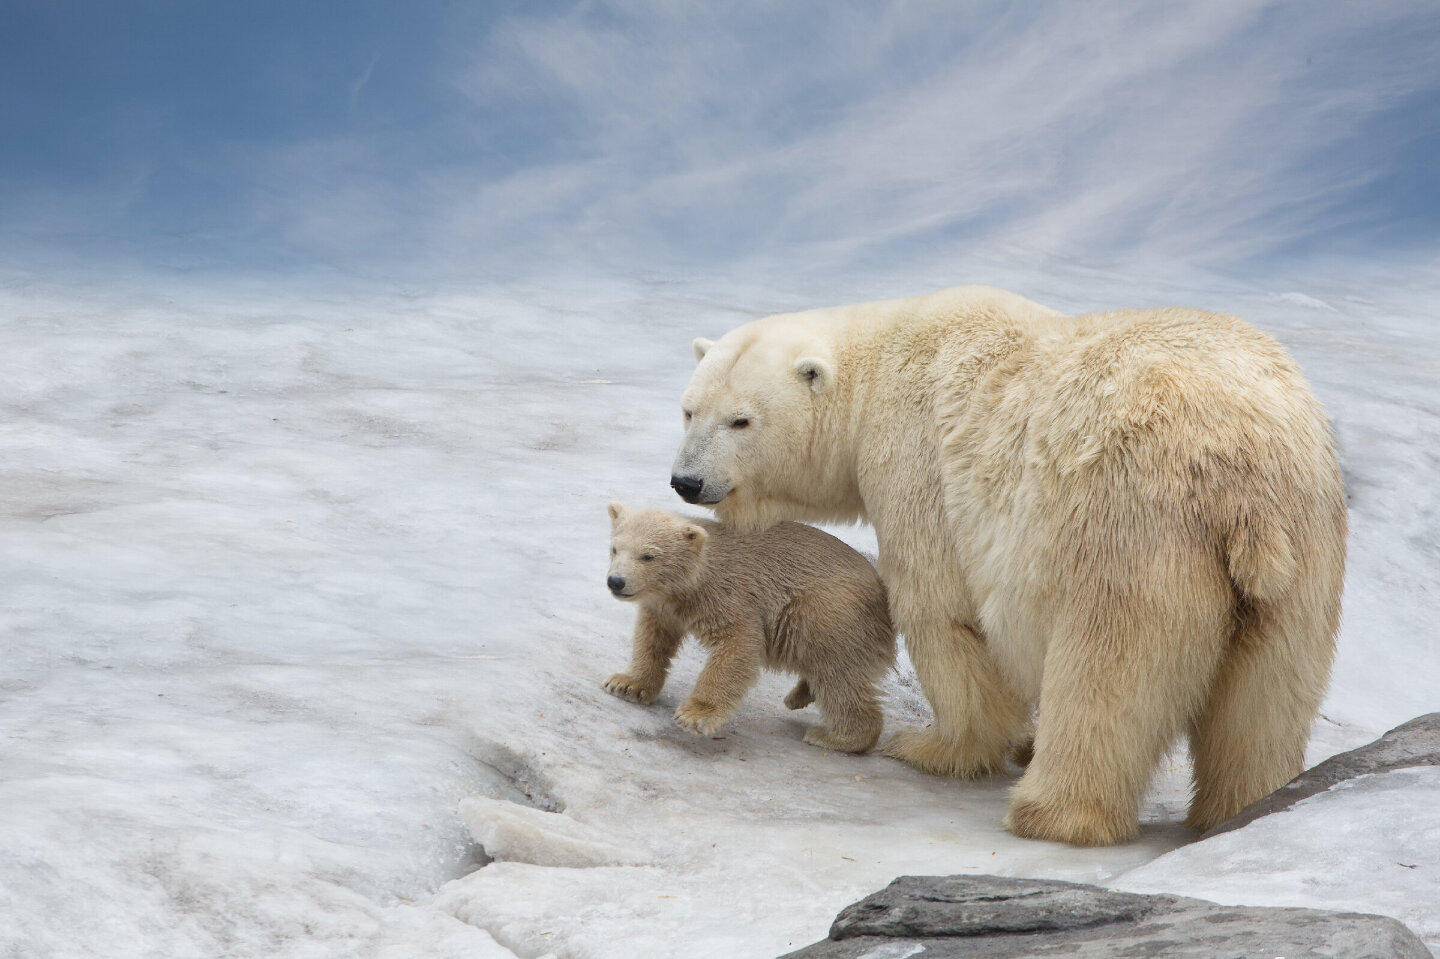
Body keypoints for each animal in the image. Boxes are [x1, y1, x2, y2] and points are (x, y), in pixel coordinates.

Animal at [601, 495, 892, 748]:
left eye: (649, 556)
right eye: (615, 548)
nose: (616, 581)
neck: (694, 581)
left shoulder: (728, 594)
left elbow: (738, 643)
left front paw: (695, 715)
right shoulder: (666, 607)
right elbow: (653, 638)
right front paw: (626, 684)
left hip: (829, 614)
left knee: (838, 675)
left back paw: (836, 737)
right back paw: (799, 696)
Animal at [668, 285, 1342, 846]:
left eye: (741, 419)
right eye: (689, 409)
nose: (686, 481)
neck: (883, 360)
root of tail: (1239, 468)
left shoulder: (919, 465)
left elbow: (942, 611)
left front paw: (934, 747)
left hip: (1131, 530)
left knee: (1109, 672)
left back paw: (1049, 813)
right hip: (1302, 555)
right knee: (1265, 697)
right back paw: (1245, 807)